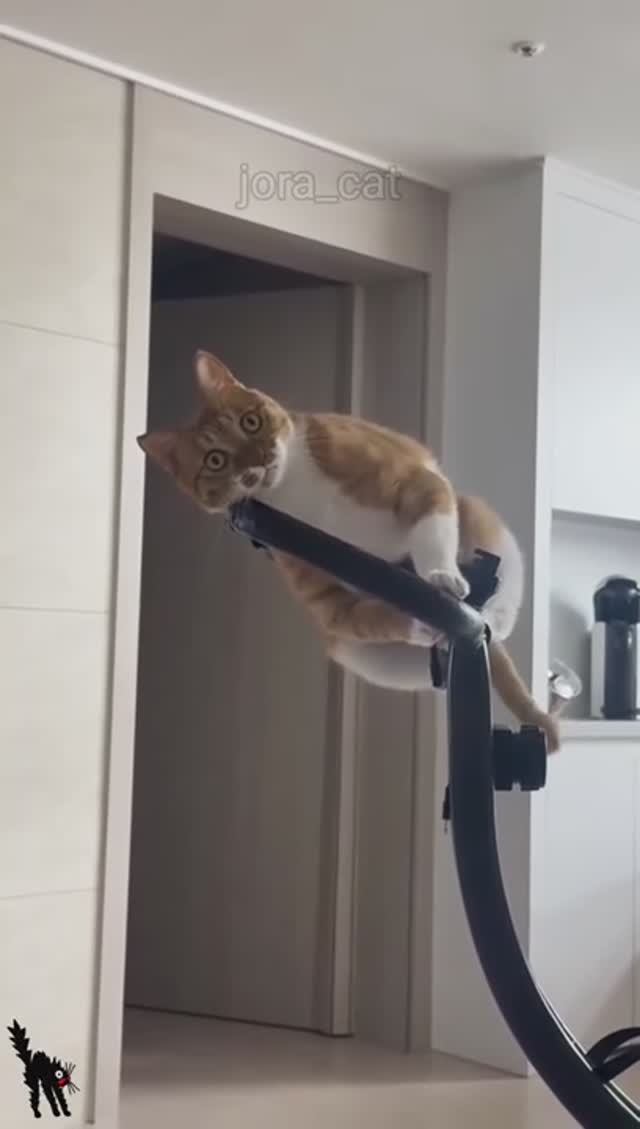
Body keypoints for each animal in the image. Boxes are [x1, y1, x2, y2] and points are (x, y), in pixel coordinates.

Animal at [138, 350, 560, 752]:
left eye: (250, 422)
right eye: (216, 460)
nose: (260, 458)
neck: (292, 490)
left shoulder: (415, 479)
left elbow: (431, 527)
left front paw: (440, 576)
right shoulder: (326, 598)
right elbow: (365, 614)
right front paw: (419, 618)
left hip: (482, 524)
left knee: (495, 613)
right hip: (364, 656)